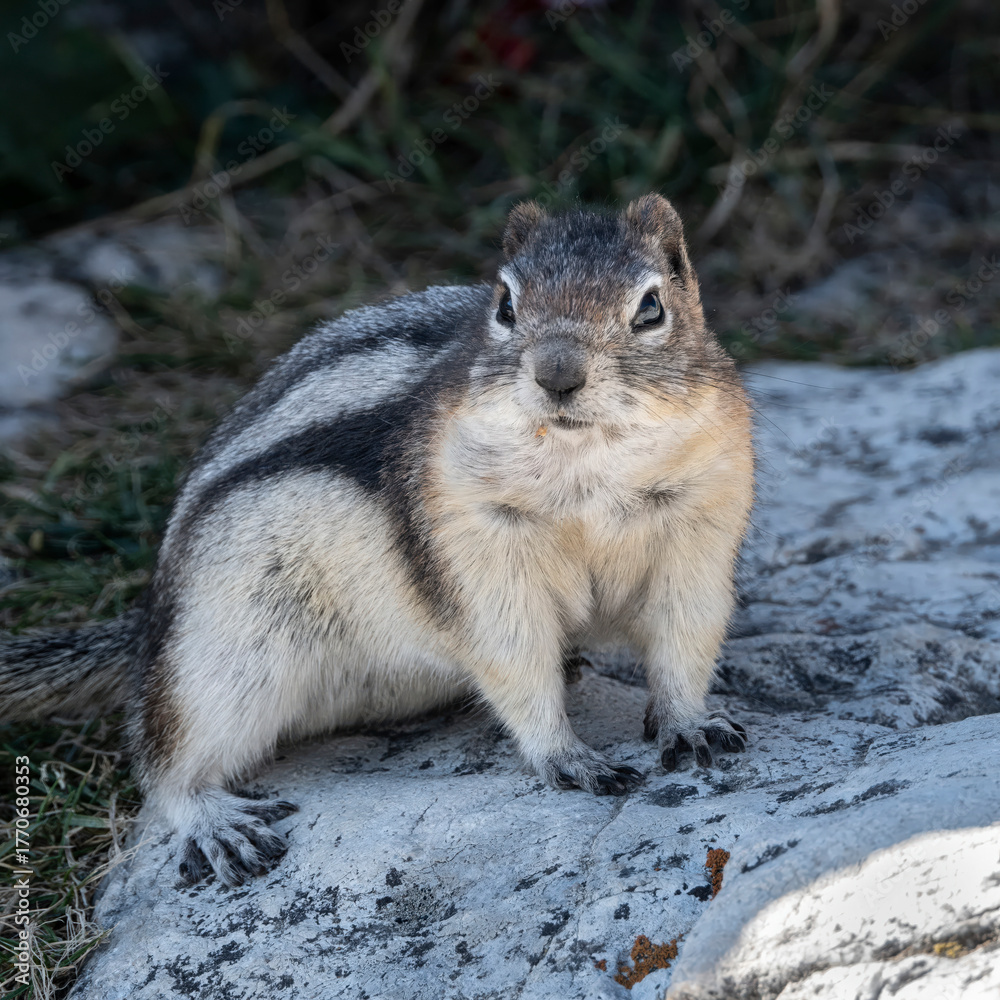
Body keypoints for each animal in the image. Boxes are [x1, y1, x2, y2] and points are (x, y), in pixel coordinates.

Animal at [0, 195, 754, 887]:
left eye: (651, 308)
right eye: (505, 304)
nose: (558, 373)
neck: (585, 464)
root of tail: (148, 621)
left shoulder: (699, 525)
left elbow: (685, 634)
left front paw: (691, 723)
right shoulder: (477, 549)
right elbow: (514, 655)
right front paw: (568, 756)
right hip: (226, 655)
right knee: (165, 758)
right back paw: (215, 823)